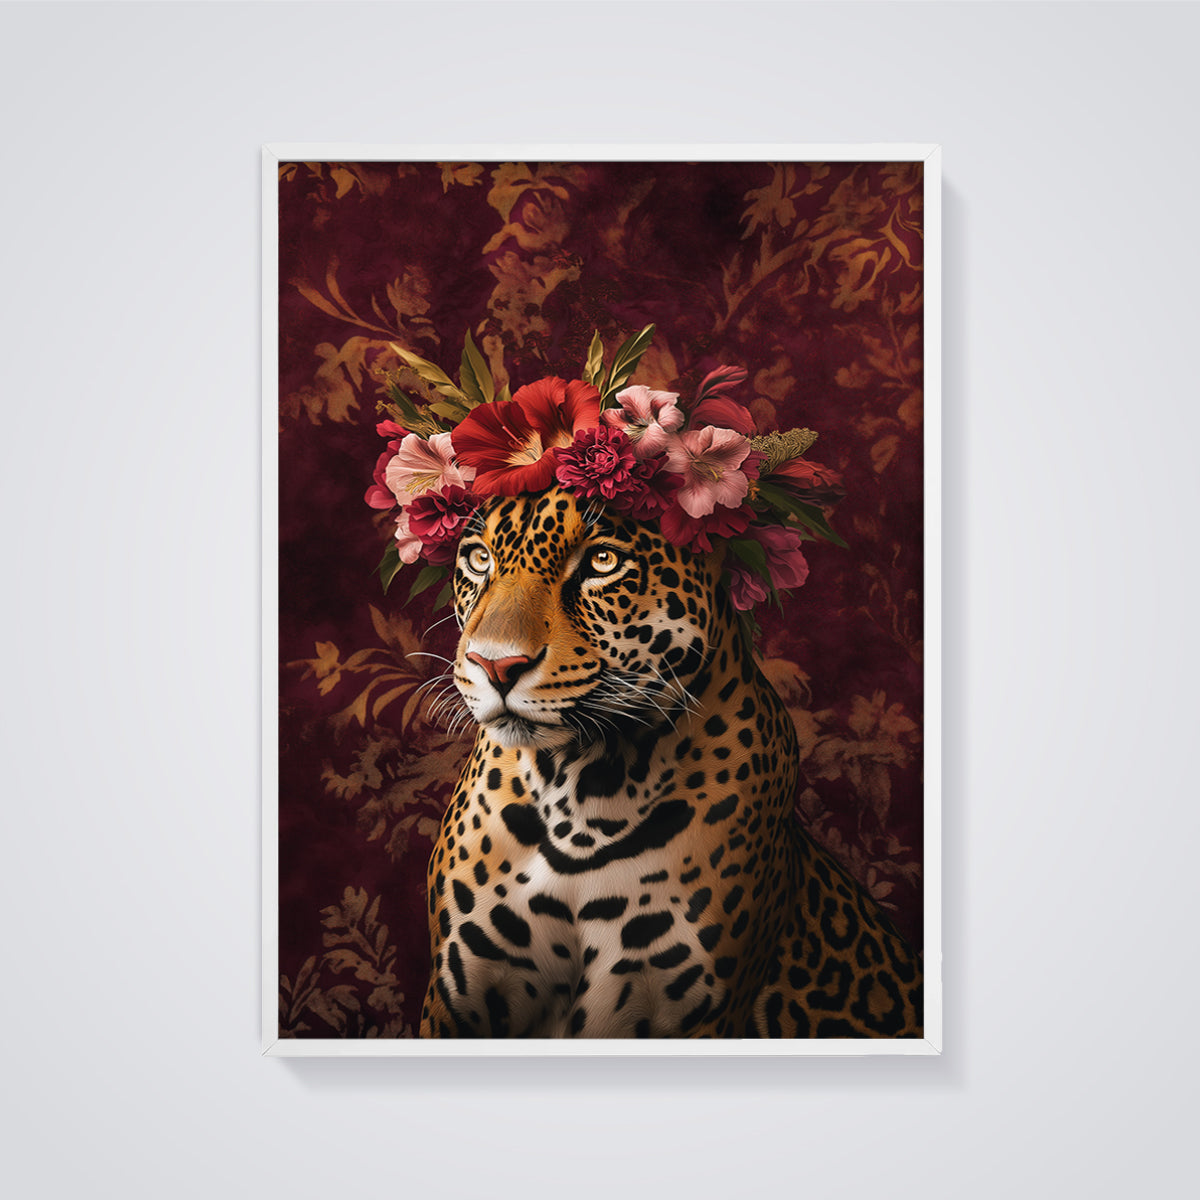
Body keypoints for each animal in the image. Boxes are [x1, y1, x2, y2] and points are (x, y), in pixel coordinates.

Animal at [418, 487, 923, 1038]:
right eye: (479, 559)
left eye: (602, 561)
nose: (494, 665)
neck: (581, 795)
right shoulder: (455, 999)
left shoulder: (699, 1016)